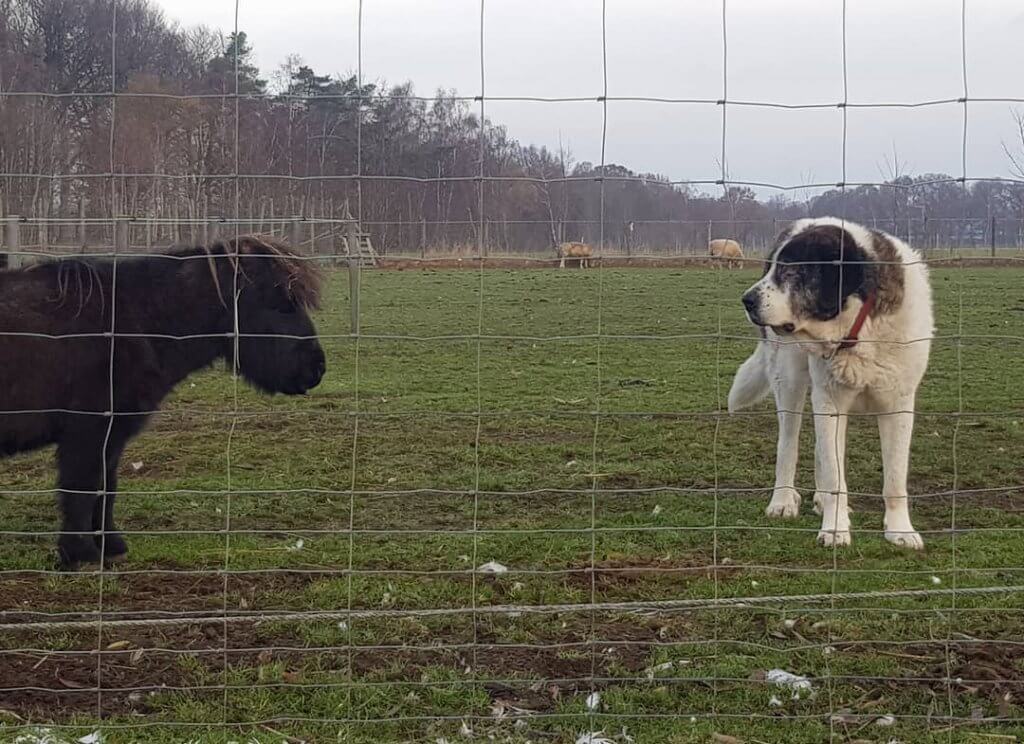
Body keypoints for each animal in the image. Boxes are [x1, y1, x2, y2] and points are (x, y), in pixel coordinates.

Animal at [0, 236, 326, 569]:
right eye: (281, 301)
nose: (316, 369)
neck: (137, 320)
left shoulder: (111, 436)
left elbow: (107, 487)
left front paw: (110, 547)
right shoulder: (88, 432)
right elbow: (82, 489)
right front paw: (82, 555)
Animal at [727, 218, 933, 549]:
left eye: (791, 271)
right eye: (771, 269)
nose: (746, 300)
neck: (858, 329)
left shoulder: (898, 406)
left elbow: (895, 477)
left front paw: (900, 530)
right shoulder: (830, 402)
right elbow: (836, 475)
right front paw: (836, 530)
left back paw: (822, 500)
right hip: (790, 379)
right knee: (789, 444)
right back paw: (782, 501)